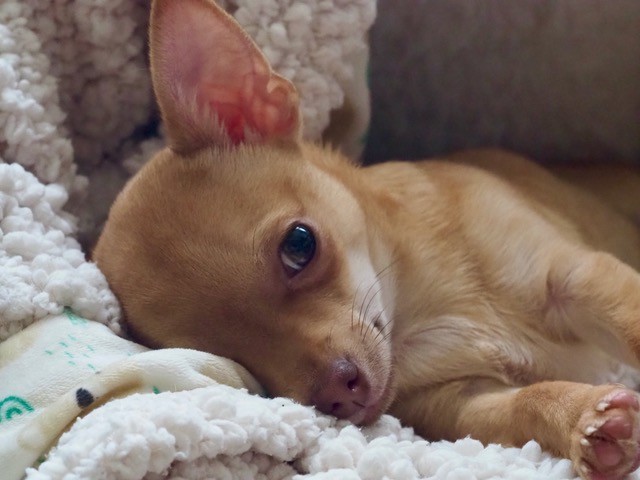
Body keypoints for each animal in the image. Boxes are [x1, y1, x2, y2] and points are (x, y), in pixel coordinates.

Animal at [93, 0, 640, 478]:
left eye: (299, 244)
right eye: (236, 363)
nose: (337, 393)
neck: (418, 307)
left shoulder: (574, 278)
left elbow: (629, 319)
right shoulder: (459, 404)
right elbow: (527, 402)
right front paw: (582, 418)